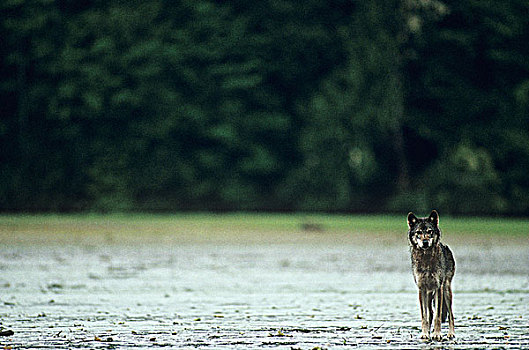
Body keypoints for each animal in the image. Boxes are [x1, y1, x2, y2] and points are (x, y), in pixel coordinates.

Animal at [408, 209, 454, 340]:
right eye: (419, 232)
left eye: (430, 231)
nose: (425, 242)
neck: (426, 259)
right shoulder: (422, 289)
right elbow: (424, 316)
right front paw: (425, 333)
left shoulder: (439, 288)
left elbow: (438, 316)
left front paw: (437, 334)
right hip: (428, 295)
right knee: (430, 313)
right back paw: (428, 331)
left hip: (446, 291)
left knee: (450, 315)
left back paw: (451, 333)